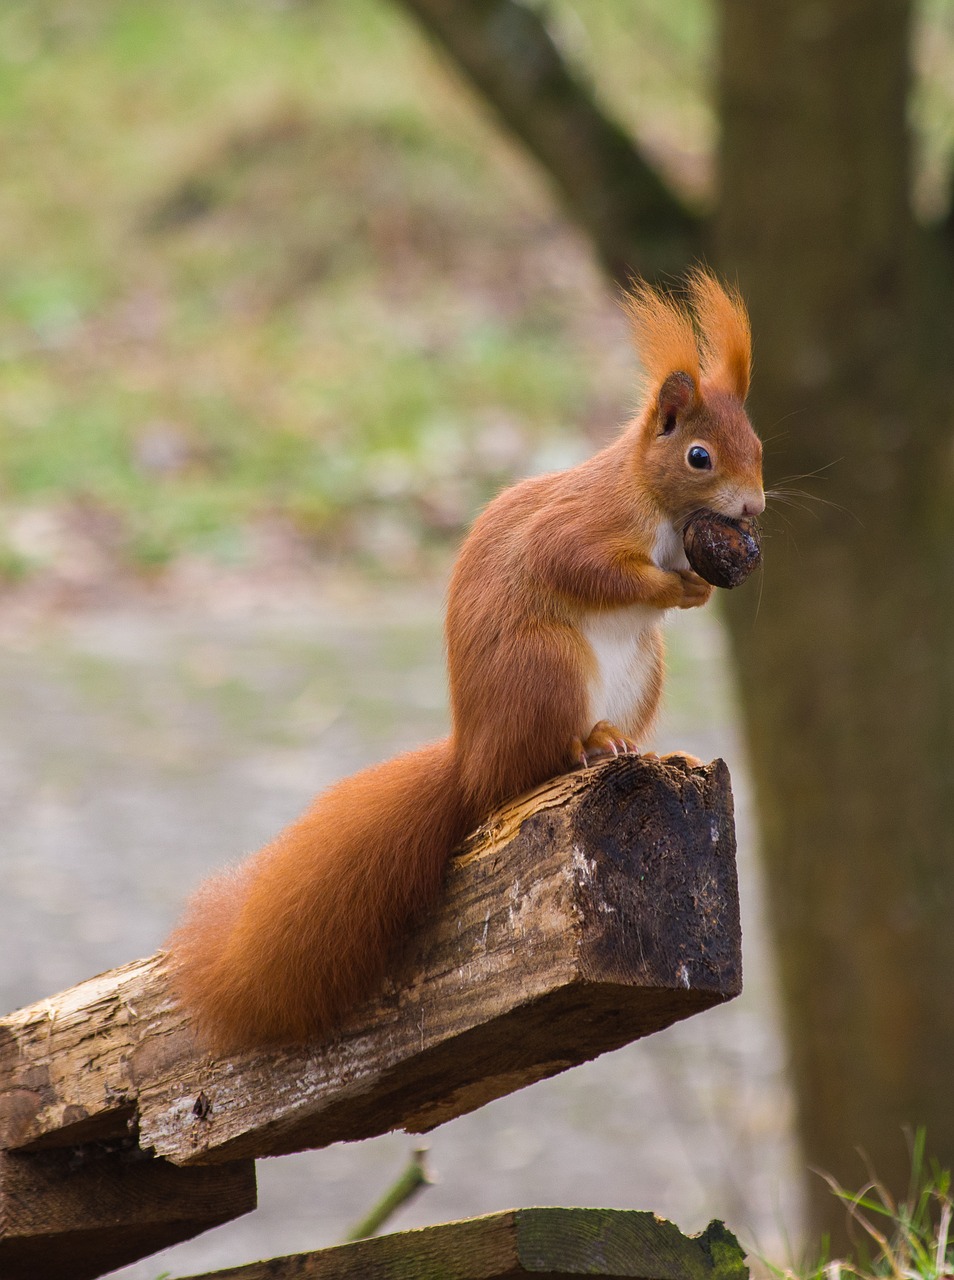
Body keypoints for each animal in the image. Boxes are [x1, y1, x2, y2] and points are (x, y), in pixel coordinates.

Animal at [167, 270, 763, 1049]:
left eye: (758, 443)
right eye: (699, 456)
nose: (753, 509)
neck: (655, 508)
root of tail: (472, 761)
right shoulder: (578, 527)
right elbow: (583, 566)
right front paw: (677, 585)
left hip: (643, 670)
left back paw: (639, 746)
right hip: (545, 665)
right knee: (532, 763)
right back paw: (585, 746)